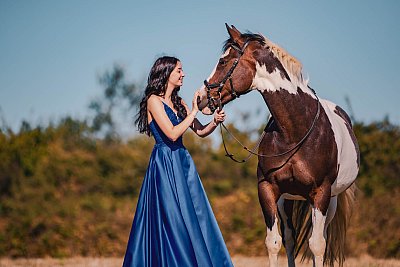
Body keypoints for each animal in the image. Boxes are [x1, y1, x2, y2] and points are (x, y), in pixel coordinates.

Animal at [197, 24, 360, 266]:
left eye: (223, 61)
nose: (199, 98)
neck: (294, 132)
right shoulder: (268, 189)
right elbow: (274, 242)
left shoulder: (321, 193)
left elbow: (317, 245)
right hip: (288, 199)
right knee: (291, 238)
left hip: (329, 201)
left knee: (320, 239)